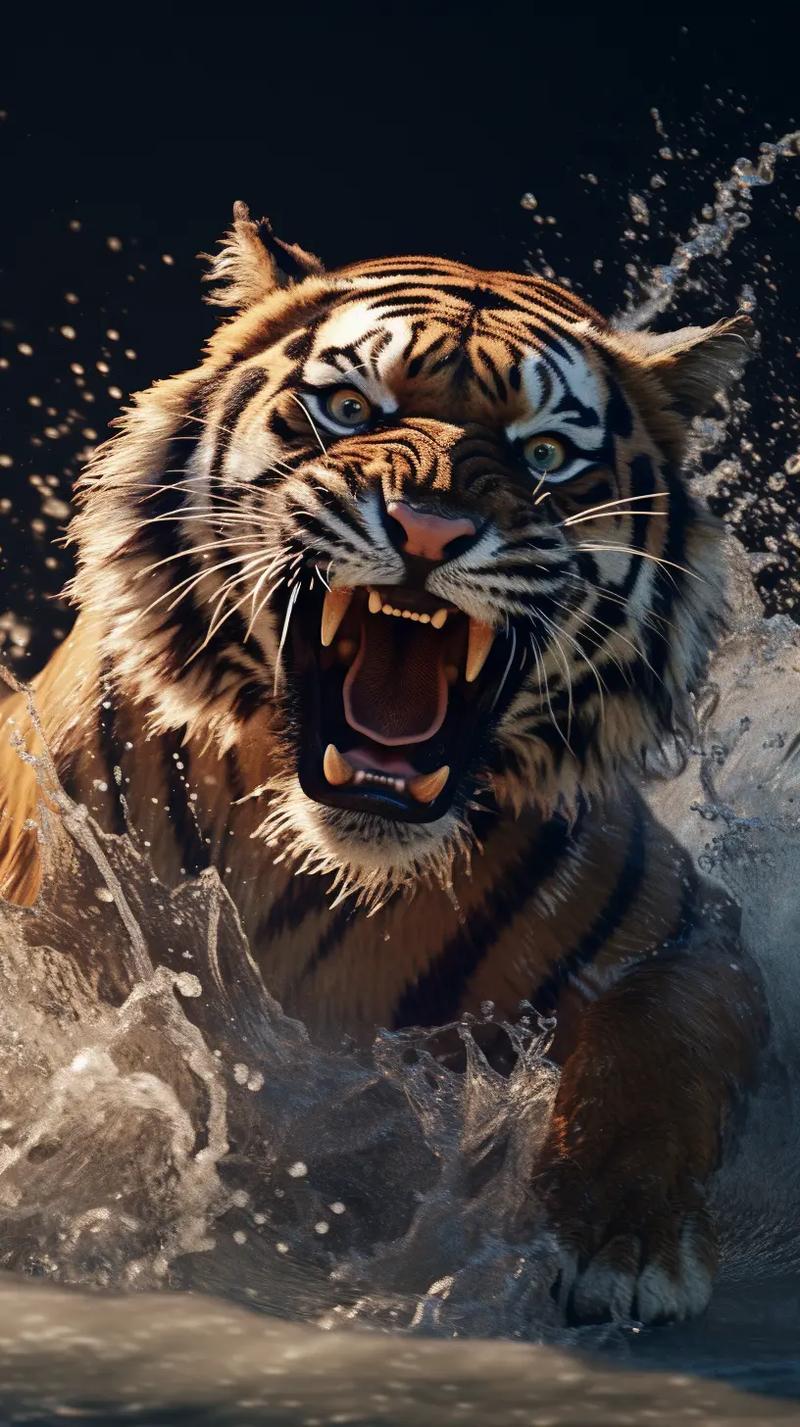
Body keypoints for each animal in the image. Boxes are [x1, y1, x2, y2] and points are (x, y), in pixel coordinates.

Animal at [0, 202, 765, 1325]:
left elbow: (652, 1053)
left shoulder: (689, 938)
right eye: (351, 407)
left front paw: (625, 1244)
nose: (430, 529)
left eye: (544, 453)